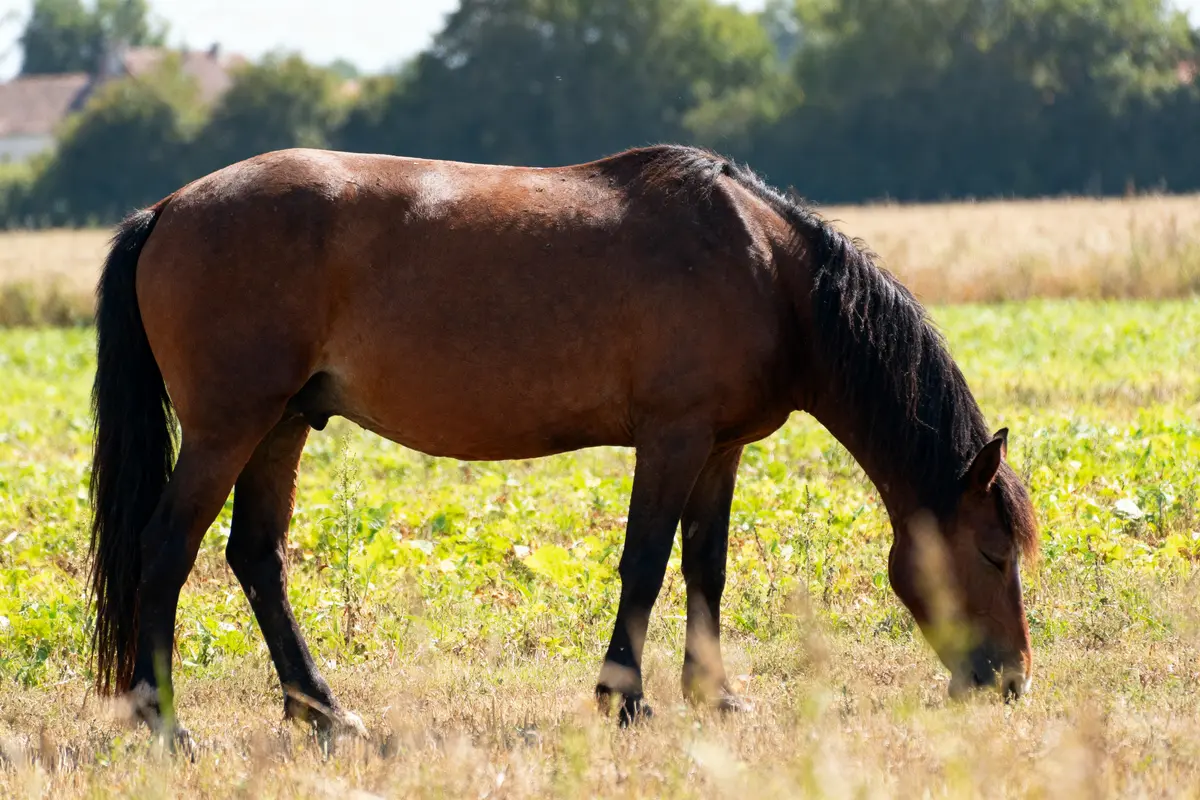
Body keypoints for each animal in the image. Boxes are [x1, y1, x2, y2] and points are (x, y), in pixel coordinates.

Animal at [87, 144, 1039, 744]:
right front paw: (626, 701)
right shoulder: (672, 438)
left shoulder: (719, 447)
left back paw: (323, 711)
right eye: (994, 554)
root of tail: (166, 210)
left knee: (257, 557)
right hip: (228, 428)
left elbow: (706, 567)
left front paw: (716, 696)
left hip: (281, 425)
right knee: (166, 552)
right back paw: (167, 724)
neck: (768, 270)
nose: (1012, 681)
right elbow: (645, 564)